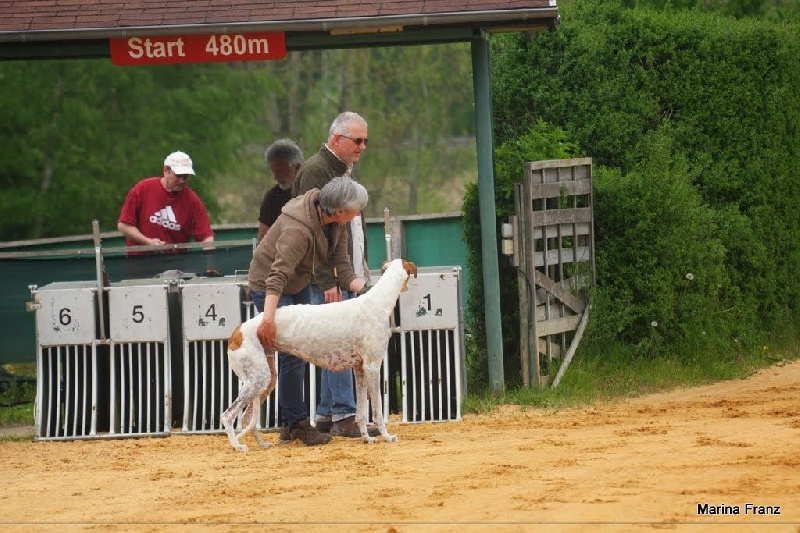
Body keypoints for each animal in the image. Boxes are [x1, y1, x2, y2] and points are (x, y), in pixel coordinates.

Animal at [221, 258, 418, 451]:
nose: (408, 287)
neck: (377, 302)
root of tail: (238, 331)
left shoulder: (360, 369)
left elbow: (361, 413)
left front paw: (366, 438)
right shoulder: (373, 367)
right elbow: (378, 410)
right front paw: (387, 436)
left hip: (266, 379)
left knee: (247, 417)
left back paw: (262, 443)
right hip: (257, 380)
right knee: (228, 415)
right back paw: (237, 445)